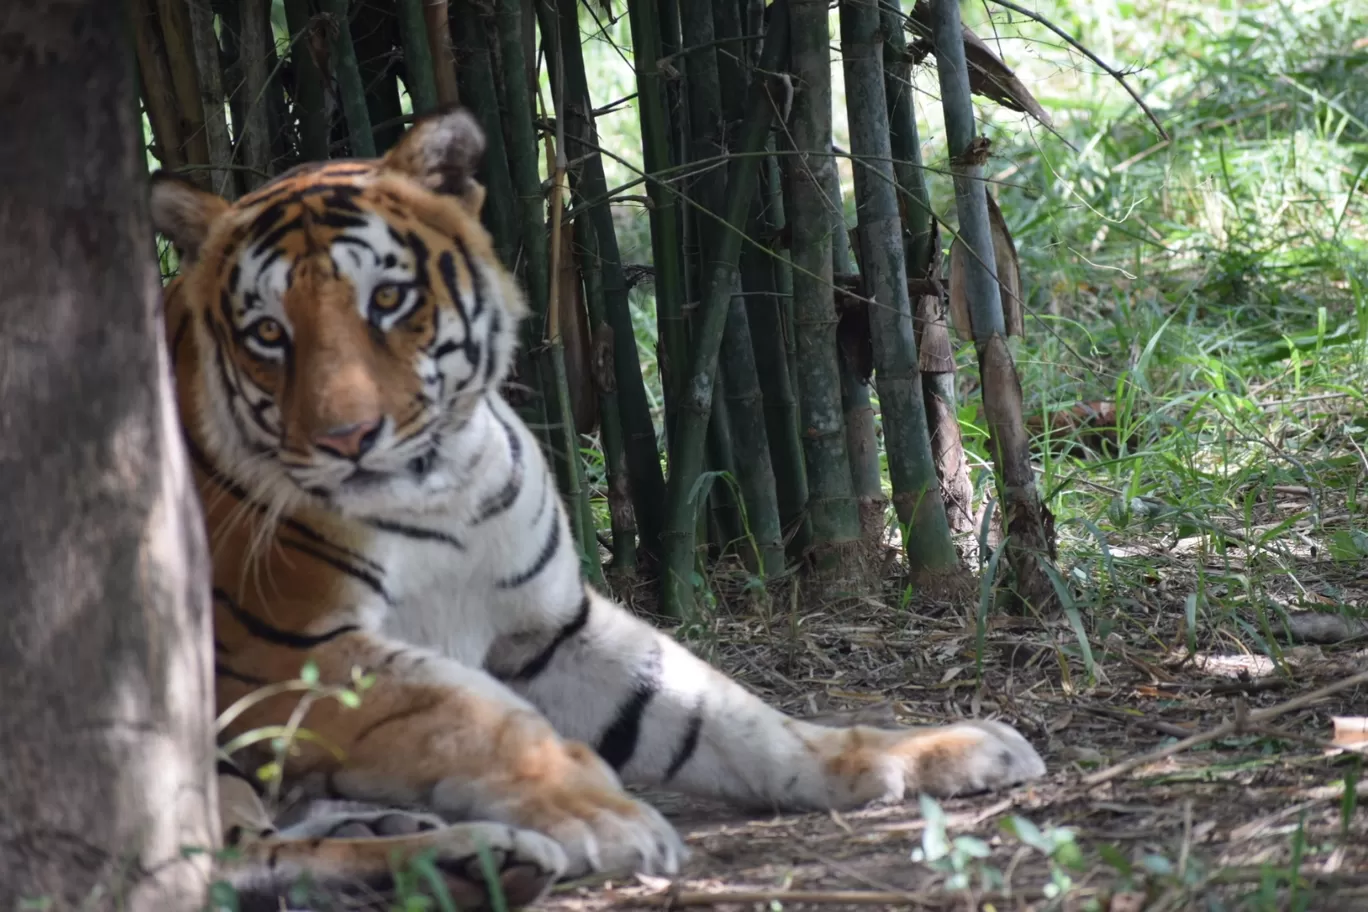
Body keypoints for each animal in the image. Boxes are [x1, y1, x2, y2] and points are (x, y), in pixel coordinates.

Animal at [149, 107, 1039, 907]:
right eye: (268, 333)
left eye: (389, 299)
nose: (347, 438)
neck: (437, 492)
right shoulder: (287, 653)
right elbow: (471, 720)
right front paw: (599, 816)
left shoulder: (547, 625)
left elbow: (724, 716)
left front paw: (931, 751)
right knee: (222, 861)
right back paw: (470, 858)